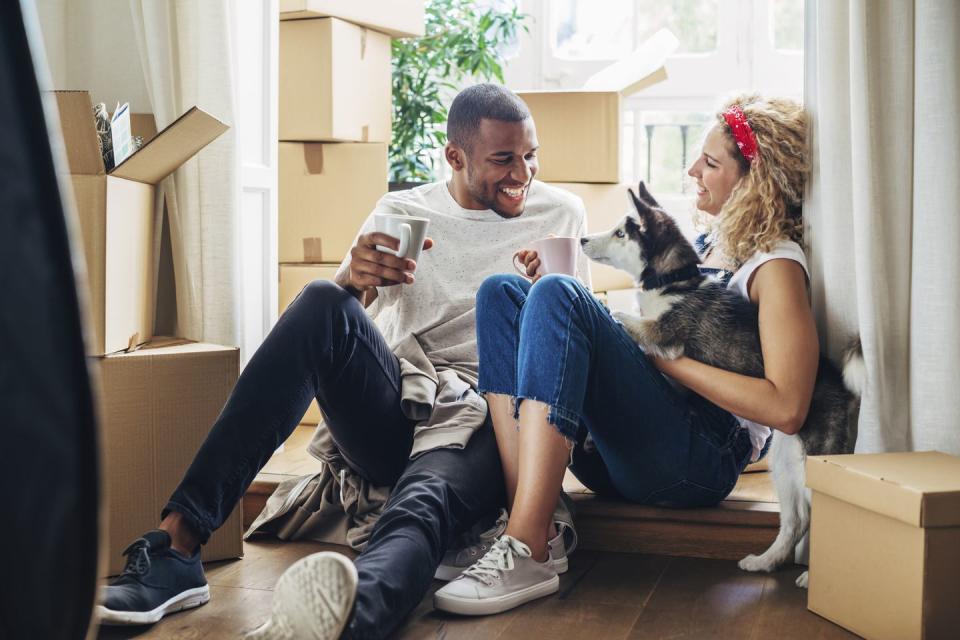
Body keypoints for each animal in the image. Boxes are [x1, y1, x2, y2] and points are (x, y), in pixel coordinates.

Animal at [580, 182, 868, 588]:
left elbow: (619, 315)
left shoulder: (664, 335)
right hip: (785, 463)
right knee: (796, 520)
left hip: (812, 461)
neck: (672, 282)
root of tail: (843, 388)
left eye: (621, 232)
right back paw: (765, 562)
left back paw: (815, 578)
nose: (582, 239)